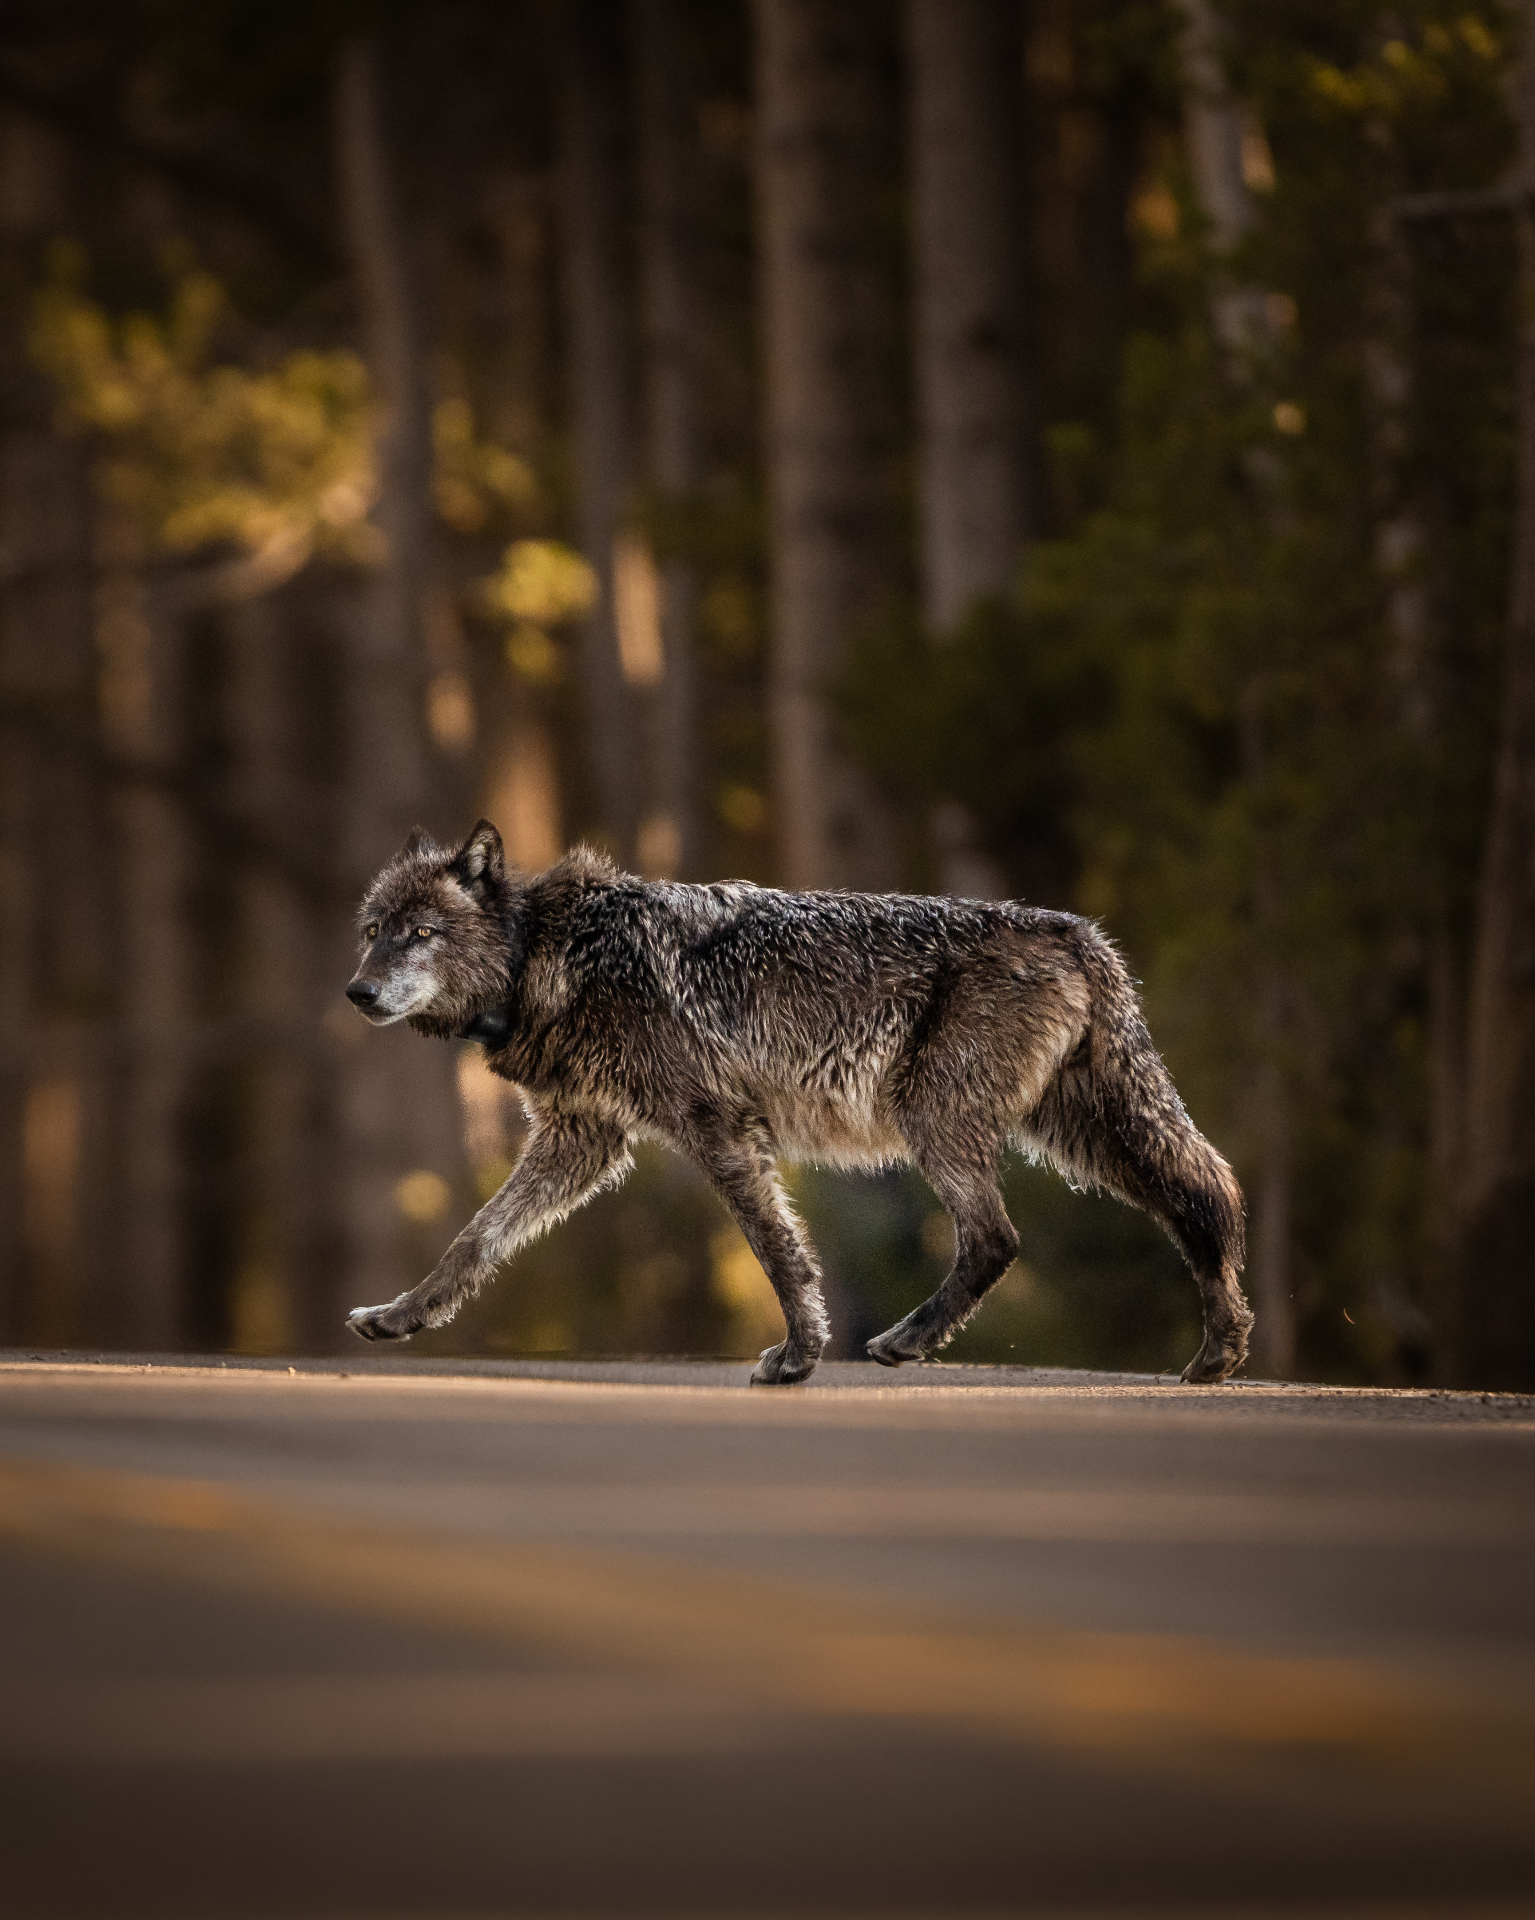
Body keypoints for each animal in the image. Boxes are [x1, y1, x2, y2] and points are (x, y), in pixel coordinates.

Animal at [343, 820, 1252, 1385]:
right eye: (371, 930)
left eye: (420, 933)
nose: (356, 993)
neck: (548, 951)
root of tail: (1080, 932)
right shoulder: (583, 1139)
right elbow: (474, 1239)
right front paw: (399, 1316)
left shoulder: (715, 1126)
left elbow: (777, 1250)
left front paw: (798, 1358)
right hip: (1080, 1137)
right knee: (1198, 1194)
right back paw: (1217, 1353)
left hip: (944, 1124)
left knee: (1002, 1237)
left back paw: (906, 1341)